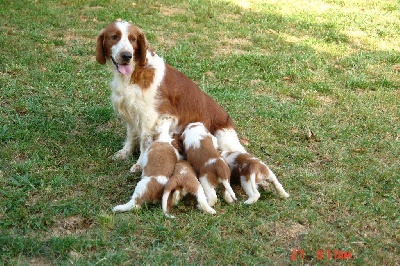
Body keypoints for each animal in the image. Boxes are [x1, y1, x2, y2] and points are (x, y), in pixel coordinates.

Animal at [97, 19, 247, 171]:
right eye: (114, 37)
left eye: (133, 39)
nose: (127, 55)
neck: (134, 73)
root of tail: (228, 120)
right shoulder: (130, 111)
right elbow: (131, 135)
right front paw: (125, 152)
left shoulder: (149, 116)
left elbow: (144, 142)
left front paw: (139, 164)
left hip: (224, 138)